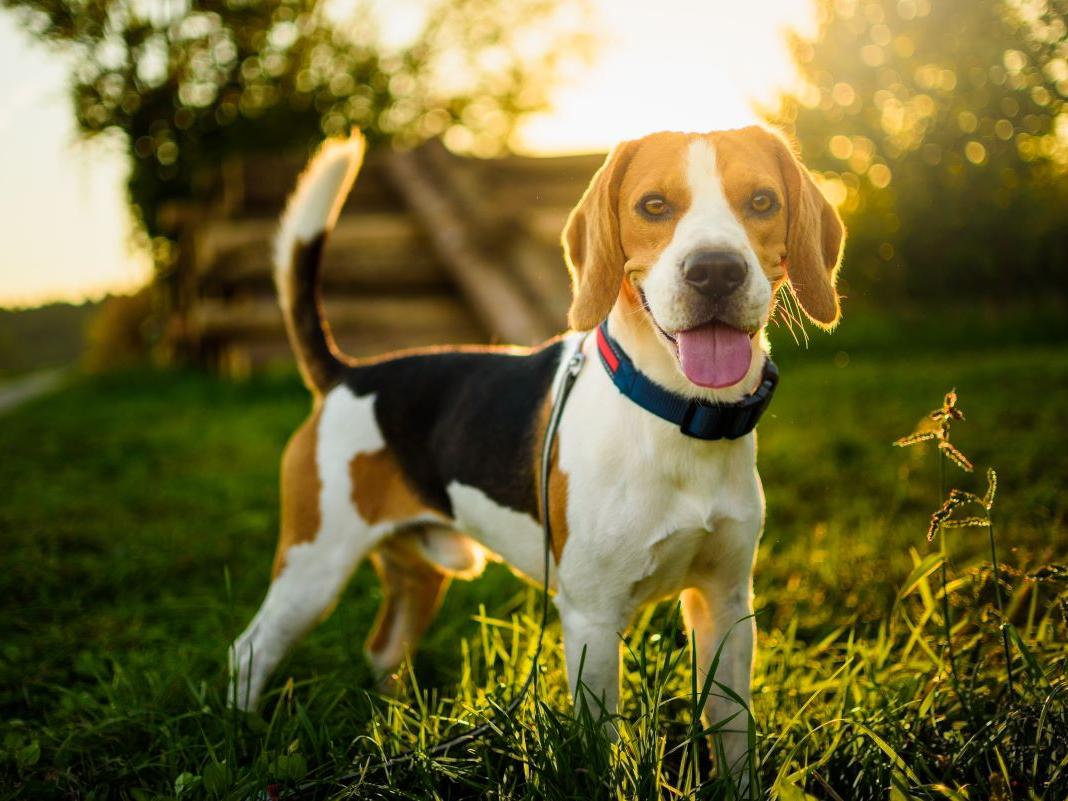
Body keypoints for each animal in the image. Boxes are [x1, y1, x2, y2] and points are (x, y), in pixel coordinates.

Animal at [229, 125, 845, 786]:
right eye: (654, 206)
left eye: (762, 202)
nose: (715, 271)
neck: (680, 416)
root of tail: (348, 374)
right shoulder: (591, 620)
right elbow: (603, 749)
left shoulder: (725, 606)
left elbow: (731, 731)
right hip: (312, 568)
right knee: (249, 650)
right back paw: (242, 744)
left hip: (418, 574)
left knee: (383, 650)